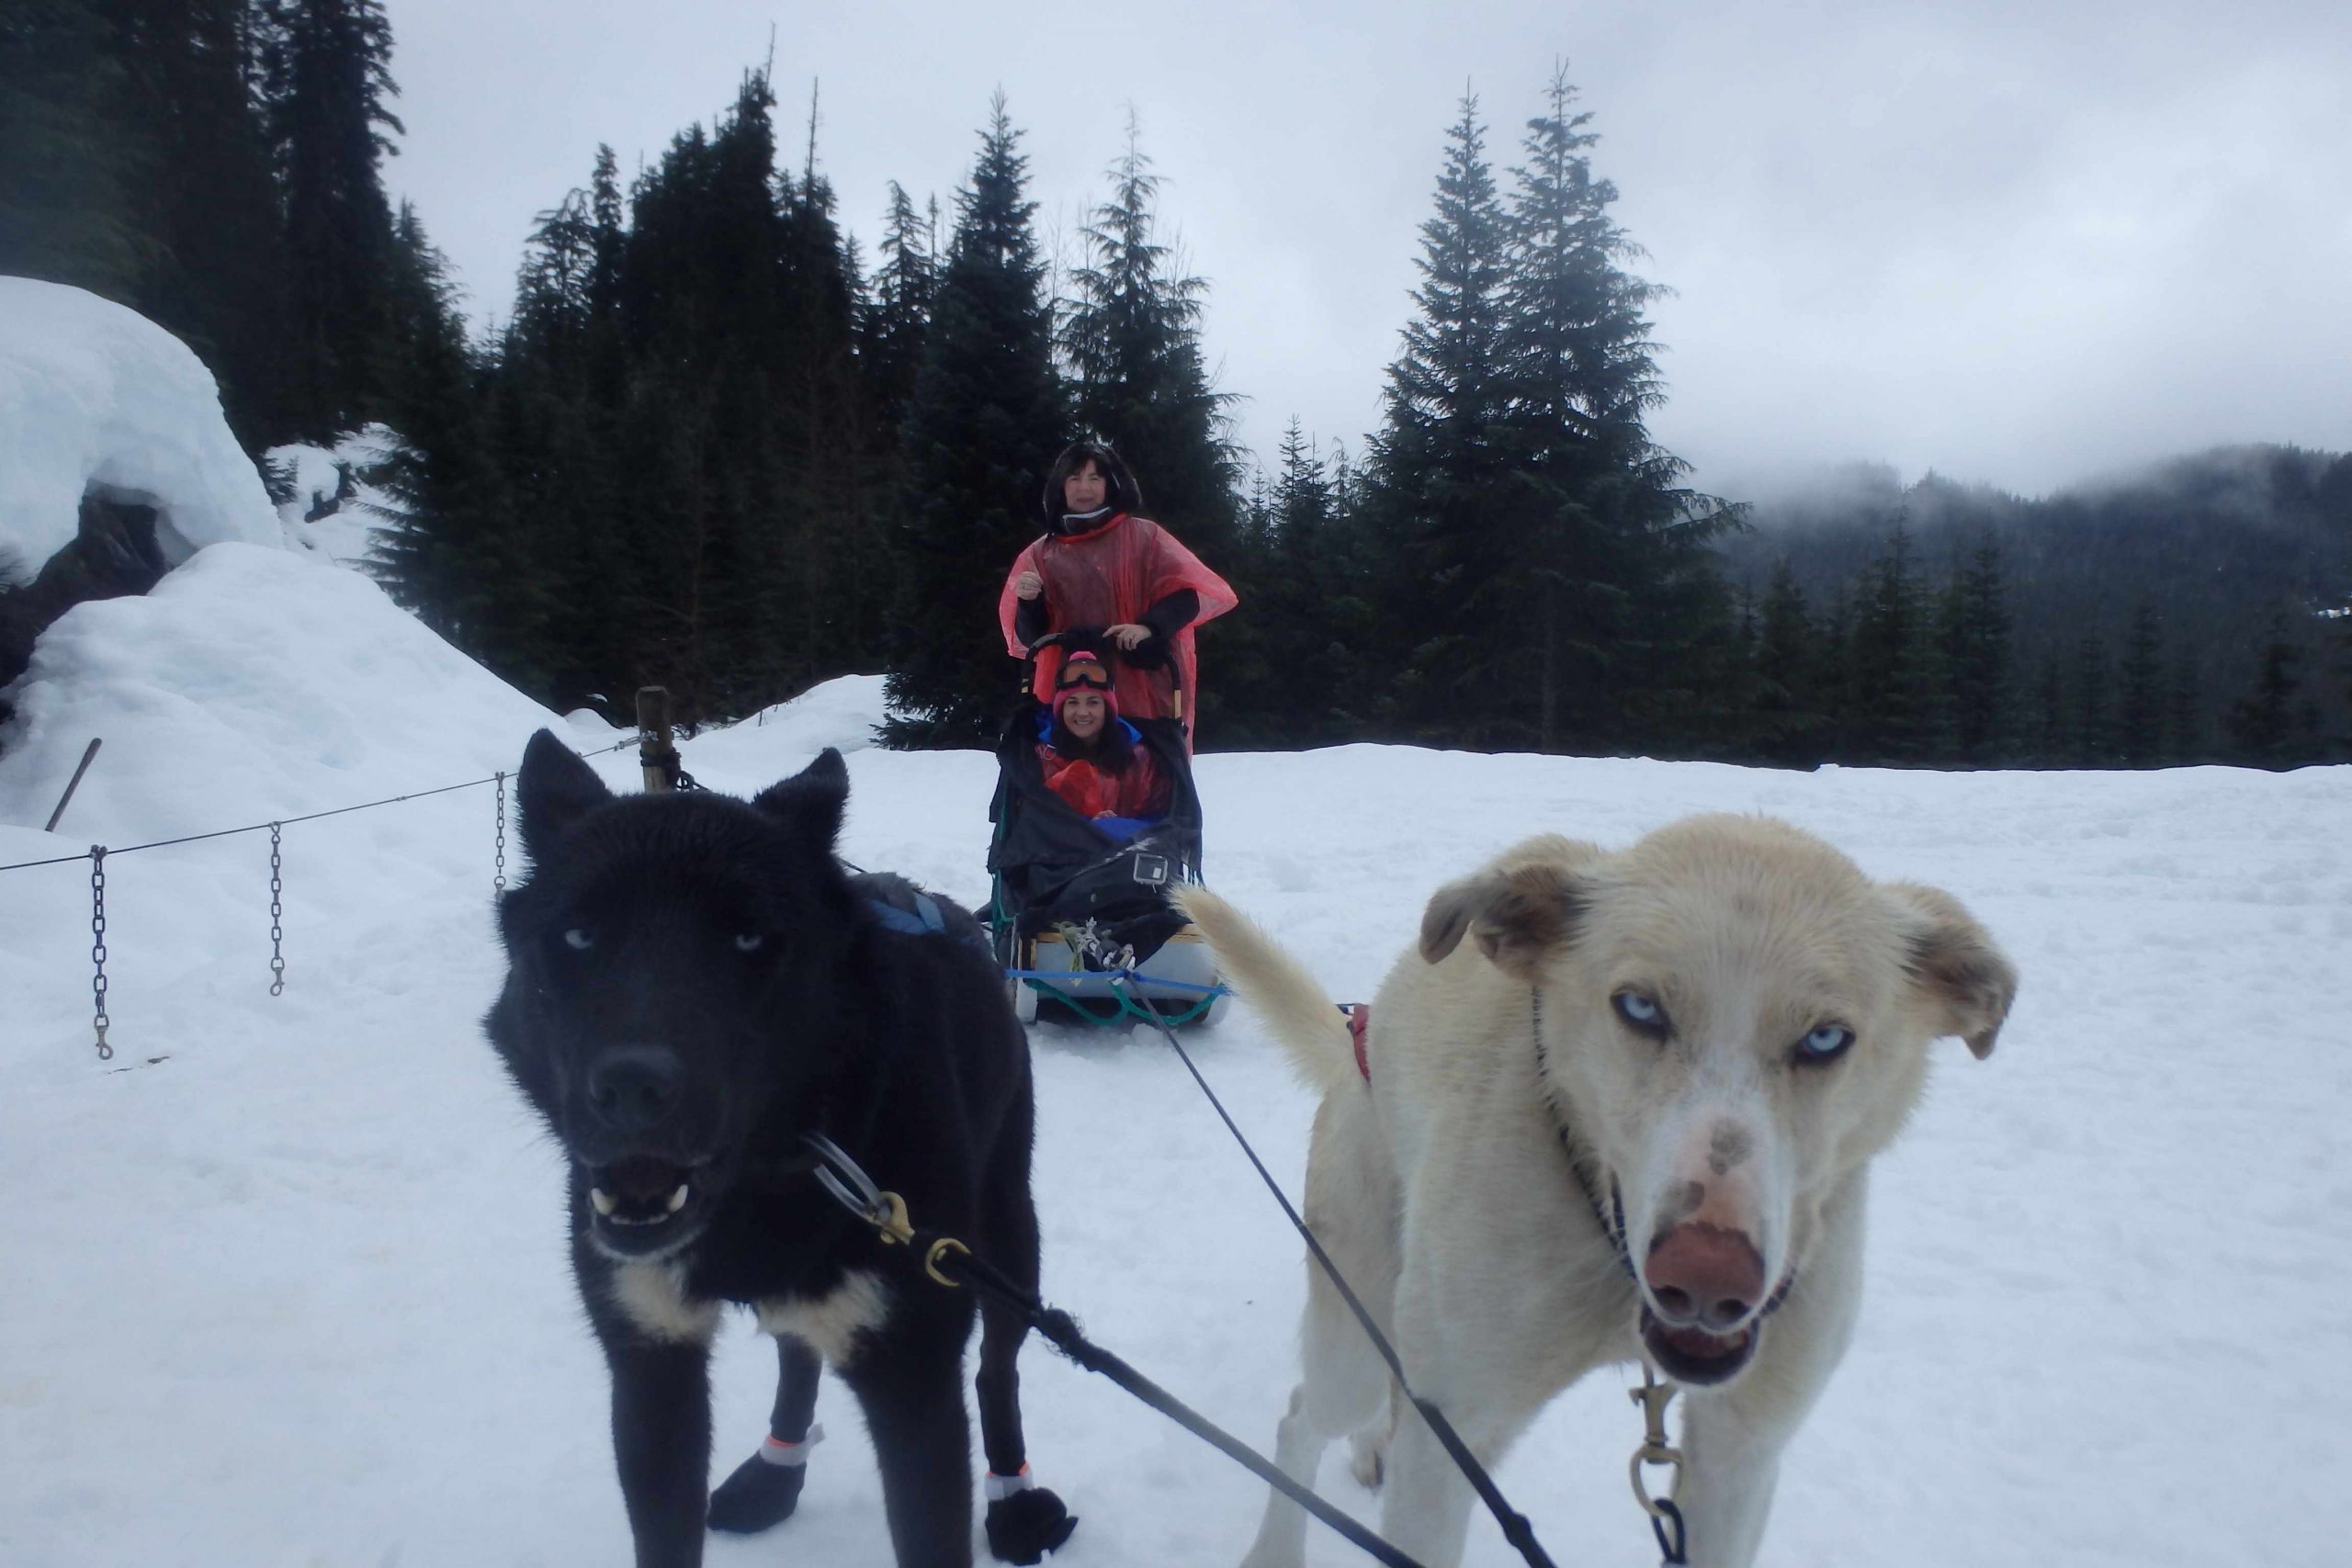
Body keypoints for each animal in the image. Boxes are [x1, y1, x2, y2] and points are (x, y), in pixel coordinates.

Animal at [501, 738, 1086, 1568]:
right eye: (579, 934)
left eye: (749, 937)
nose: (631, 1086)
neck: (760, 1192)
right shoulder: (650, 1363)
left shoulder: (913, 1380)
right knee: (797, 1353)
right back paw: (775, 1472)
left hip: (1005, 1233)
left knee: (996, 1367)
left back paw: (1016, 1499)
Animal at [1176, 818, 2022, 1568]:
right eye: (1640, 1007)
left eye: (1824, 1038)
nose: (1707, 1273)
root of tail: (1358, 1037)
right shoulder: (1453, 1440)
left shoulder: (1740, 1456)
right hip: (1352, 1330)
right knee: (1301, 1419)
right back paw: (1274, 1549)